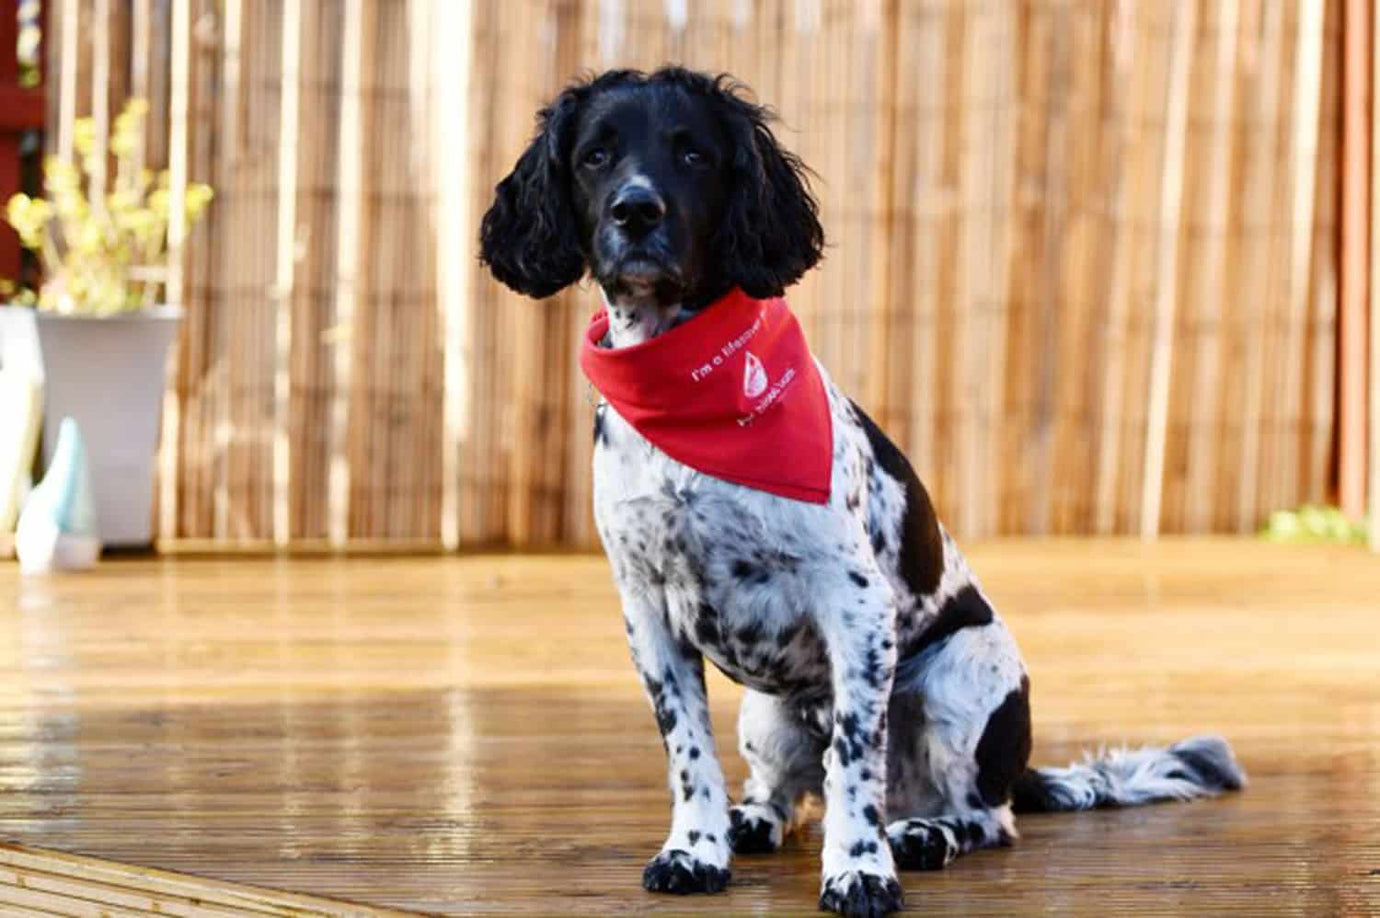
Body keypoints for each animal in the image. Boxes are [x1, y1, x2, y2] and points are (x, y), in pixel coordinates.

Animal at [480, 69, 1247, 916]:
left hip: (960, 679)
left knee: (981, 816)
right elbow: (688, 752)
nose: (637, 210)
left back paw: (921, 835)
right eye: (595, 156)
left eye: (693, 153)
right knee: (787, 792)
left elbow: (854, 764)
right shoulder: (648, 612)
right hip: (769, 714)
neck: (684, 391)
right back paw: (752, 820)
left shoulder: (855, 604)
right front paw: (695, 849)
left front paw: (859, 869)